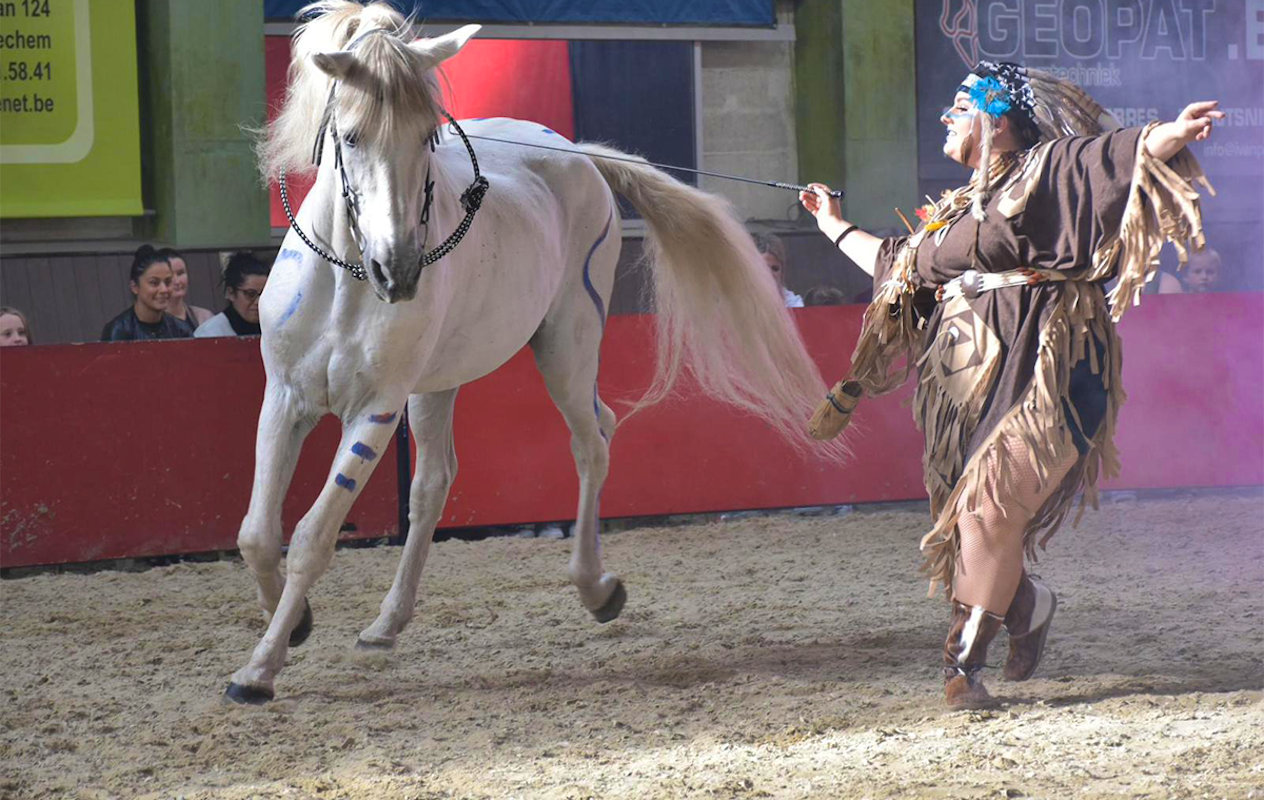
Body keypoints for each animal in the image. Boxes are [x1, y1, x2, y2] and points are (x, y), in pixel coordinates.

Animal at [225, 0, 847, 703]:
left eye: (428, 137)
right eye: (352, 137)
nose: (399, 272)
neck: (346, 279)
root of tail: (577, 155)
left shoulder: (374, 410)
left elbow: (311, 535)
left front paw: (259, 669)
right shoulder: (286, 399)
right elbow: (257, 533)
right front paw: (295, 624)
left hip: (566, 346)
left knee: (591, 441)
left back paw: (597, 588)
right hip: (438, 381)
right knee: (434, 484)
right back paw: (387, 625)